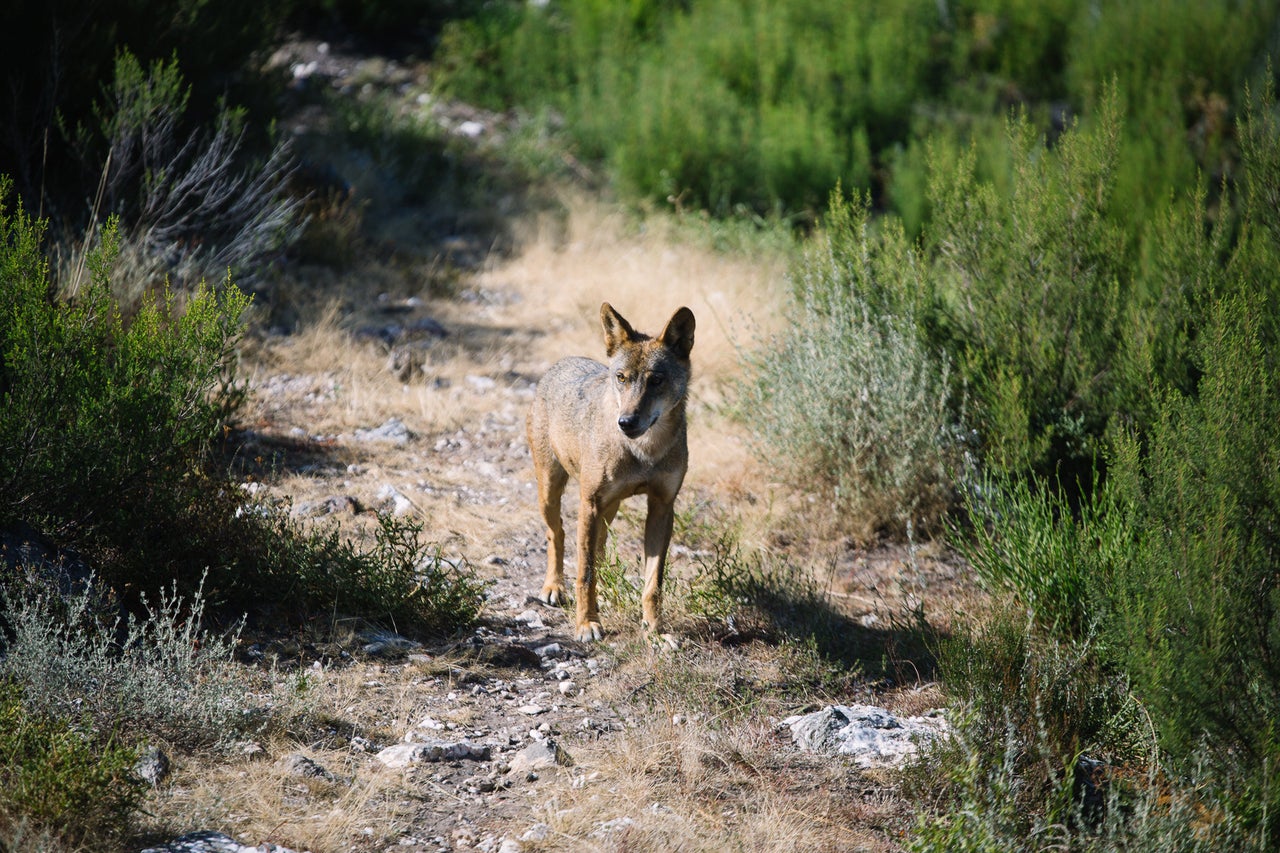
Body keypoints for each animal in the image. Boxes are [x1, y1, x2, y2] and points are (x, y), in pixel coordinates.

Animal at [524, 302, 696, 640]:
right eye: (621, 378)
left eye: (656, 380)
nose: (626, 422)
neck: (644, 451)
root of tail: (563, 361)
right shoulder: (589, 503)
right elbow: (585, 574)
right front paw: (587, 624)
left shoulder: (662, 507)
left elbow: (653, 583)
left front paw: (655, 631)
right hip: (553, 492)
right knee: (557, 534)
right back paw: (554, 587)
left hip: (609, 509)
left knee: (600, 549)